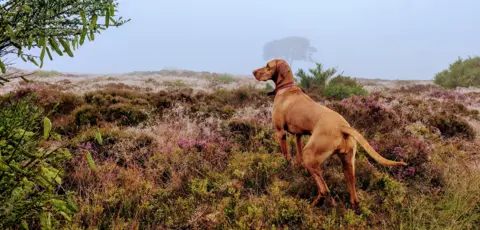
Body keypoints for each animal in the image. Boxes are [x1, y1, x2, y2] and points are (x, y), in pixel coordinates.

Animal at [253, 58, 406, 210]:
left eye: (268, 66)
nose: (253, 72)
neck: (287, 88)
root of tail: (343, 127)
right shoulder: (299, 135)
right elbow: (298, 154)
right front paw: (297, 167)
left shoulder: (280, 133)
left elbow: (286, 155)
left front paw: (287, 168)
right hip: (348, 164)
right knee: (352, 192)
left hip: (311, 155)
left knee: (324, 189)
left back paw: (312, 205)